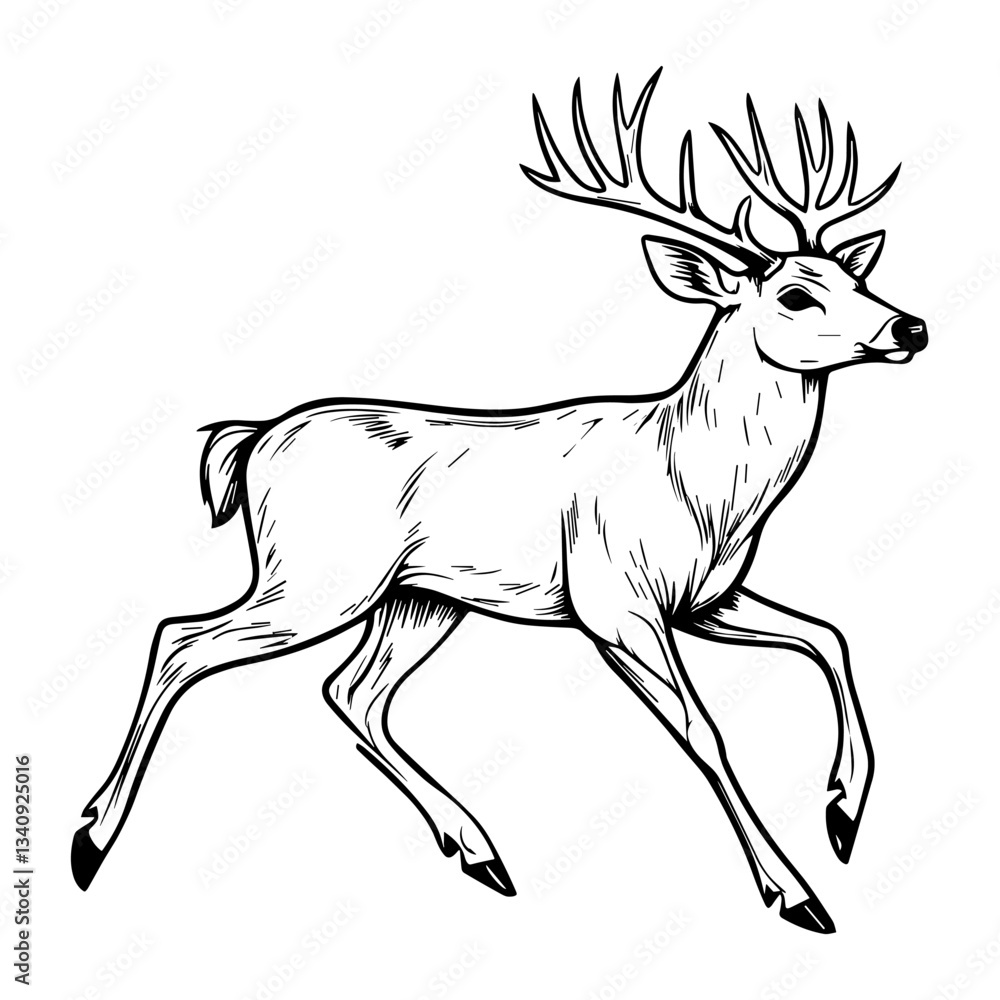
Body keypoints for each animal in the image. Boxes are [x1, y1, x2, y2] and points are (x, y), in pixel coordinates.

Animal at [72, 70, 927, 933]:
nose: (911, 326)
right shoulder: (614, 598)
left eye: (857, 278)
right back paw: (91, 840)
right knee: (183, 639)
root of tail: (251, 441)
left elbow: (829, 637)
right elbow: (704, 729)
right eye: (796, 296)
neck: (701, 487)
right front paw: (797, 893)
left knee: (351, 690)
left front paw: (844, 813)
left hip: (418, 598)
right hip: (318, 576)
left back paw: (478, 851)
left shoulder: (708, 600)